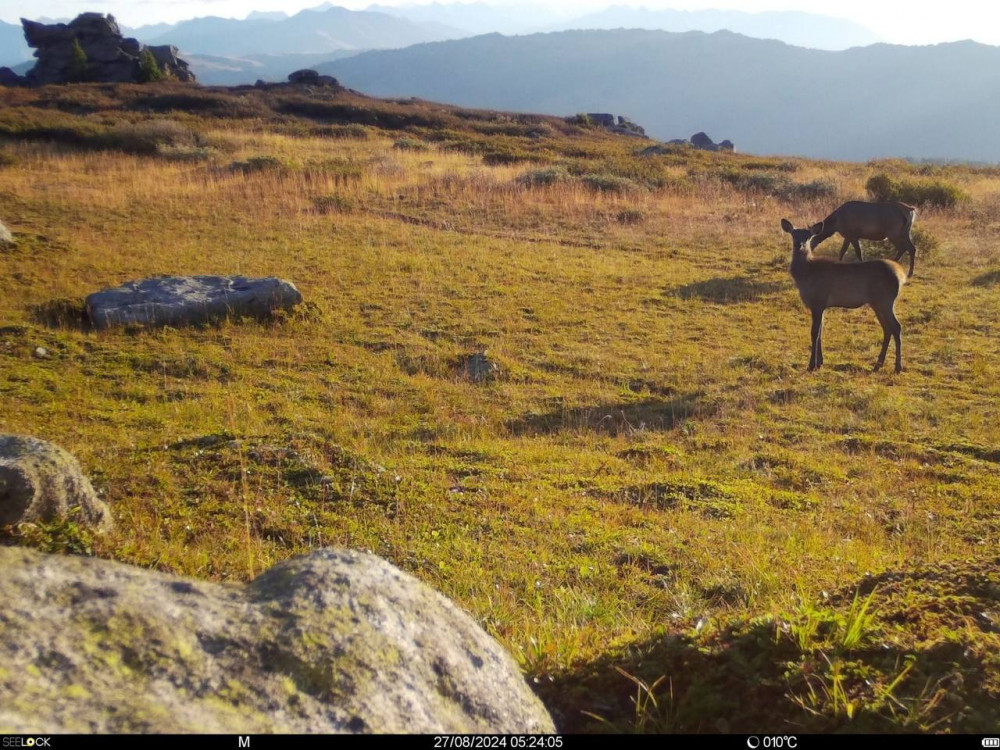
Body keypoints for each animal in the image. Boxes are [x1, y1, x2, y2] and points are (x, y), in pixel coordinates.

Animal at [780, 219, 908, 374]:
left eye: (808, 236)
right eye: (794, 234)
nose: (799, 245)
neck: (805, 274)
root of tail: (901, 275)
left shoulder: (818, 301)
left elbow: (814, 333)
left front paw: (811, 365)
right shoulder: (822, 306)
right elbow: (821, 332)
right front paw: (820, 362)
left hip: (886, 301)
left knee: (896, 327)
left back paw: (898, 367)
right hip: (877, 303)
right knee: (887, 329)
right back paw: (878, 364)